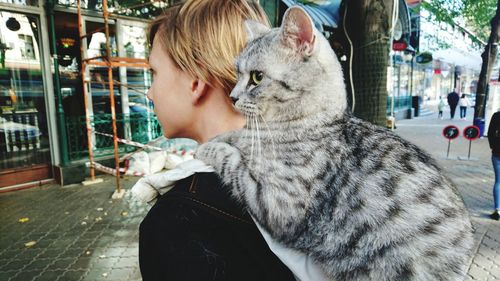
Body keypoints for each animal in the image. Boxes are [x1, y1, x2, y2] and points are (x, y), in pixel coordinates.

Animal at [195, 6, 472, 280]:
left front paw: (205, 148)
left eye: (257, 77)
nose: (232, 97)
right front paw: (214, 139)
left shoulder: (277, 203)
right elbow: (234, 138)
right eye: (237, 73)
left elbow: (232, 161)